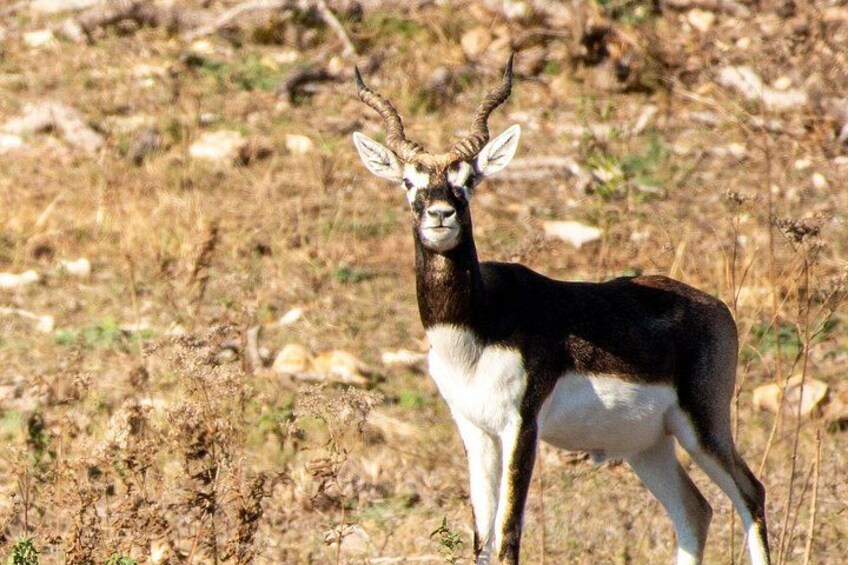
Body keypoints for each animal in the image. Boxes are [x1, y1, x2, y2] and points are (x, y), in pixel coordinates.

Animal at [351, 56, 770, 565]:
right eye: (408, 182)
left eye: (467, 182)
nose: (439, 215)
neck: (476, 327)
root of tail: (716, 308)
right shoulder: (475, 430)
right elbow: (482, 541)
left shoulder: (520, 425)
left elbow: (507, 535)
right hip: (648, 444)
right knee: (695, 511)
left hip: (703, 427)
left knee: (750, 494)